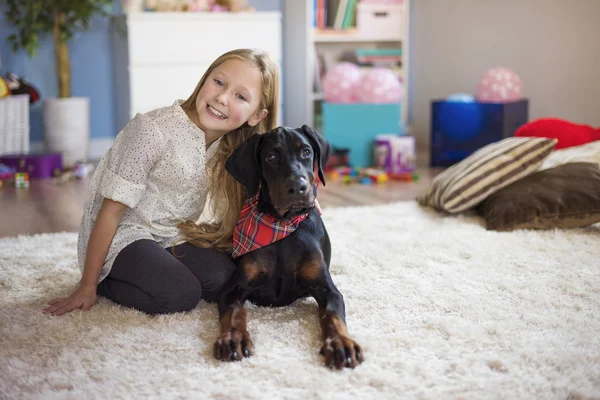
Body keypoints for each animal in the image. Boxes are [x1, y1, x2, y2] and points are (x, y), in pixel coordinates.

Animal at [213, 124, 364, 368]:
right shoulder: (232, 289)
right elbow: (235, 312)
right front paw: (233, 338)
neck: (283, 224)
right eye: (271, 157)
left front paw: (341, 343)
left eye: (306, 152)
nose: (298, 187)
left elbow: (333, 315)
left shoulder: (328, 289)